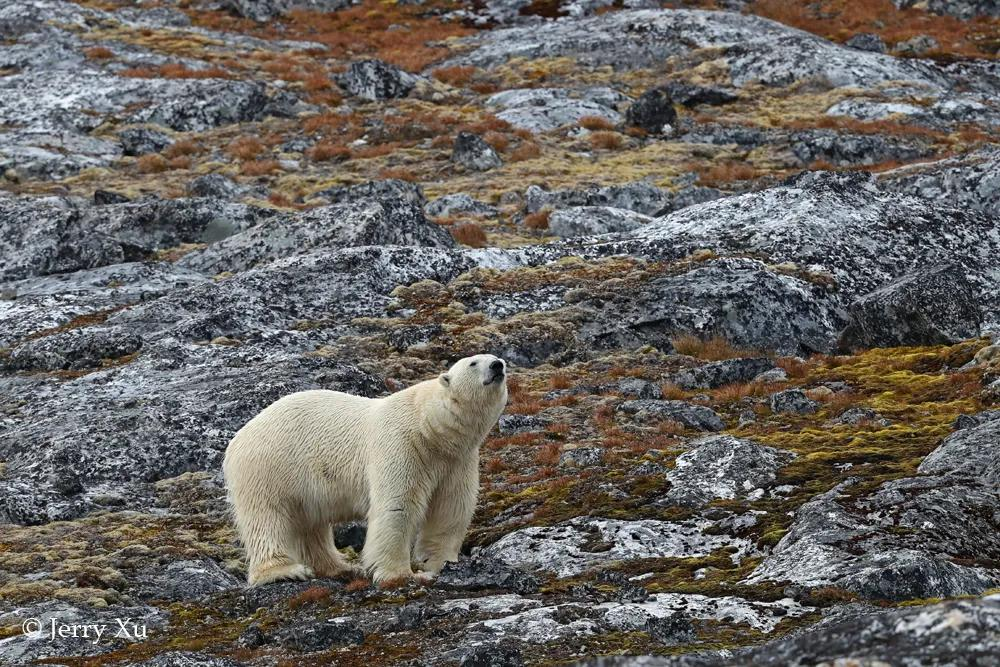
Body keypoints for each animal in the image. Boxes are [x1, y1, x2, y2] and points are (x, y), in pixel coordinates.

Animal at [225, 354, 508, 584]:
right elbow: (398, 506)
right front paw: (399, 574)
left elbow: (451, 508)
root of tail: (237, 439)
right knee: (267, 517)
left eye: (496, 358)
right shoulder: (402, 446)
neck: (429, 427)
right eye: (473, 363)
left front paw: (438, 563)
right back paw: (284, 571)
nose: (498, 365)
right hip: (268, 467)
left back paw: (340, 567)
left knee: (310, 525)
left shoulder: (456, 460)